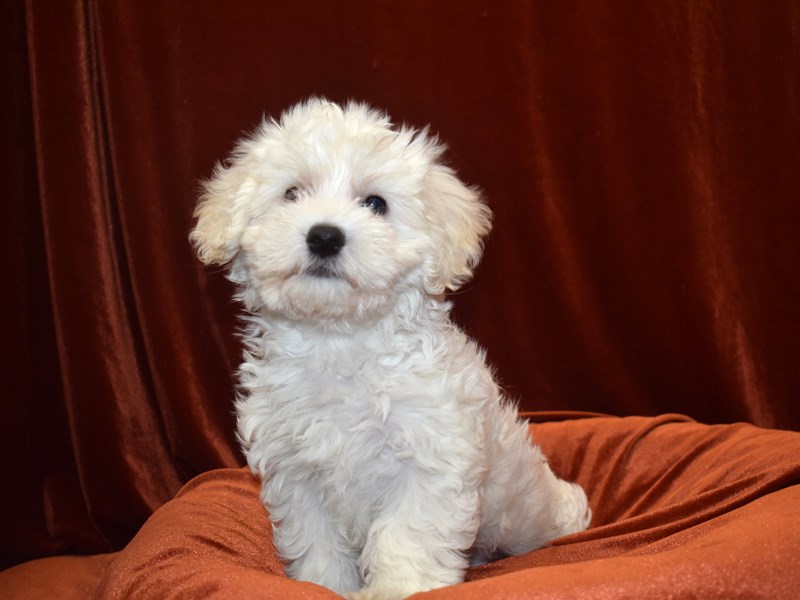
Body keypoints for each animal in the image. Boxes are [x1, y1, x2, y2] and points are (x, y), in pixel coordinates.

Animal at [188, 99, 588, 600]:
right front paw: (325, 585)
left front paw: (399, 587)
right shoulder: (297, 474)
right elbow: (316, 539)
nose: (324, 235)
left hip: (525, 509)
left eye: (376, 203)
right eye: (292, 193)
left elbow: (407, 534)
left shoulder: (427, 459)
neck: (339, 338)